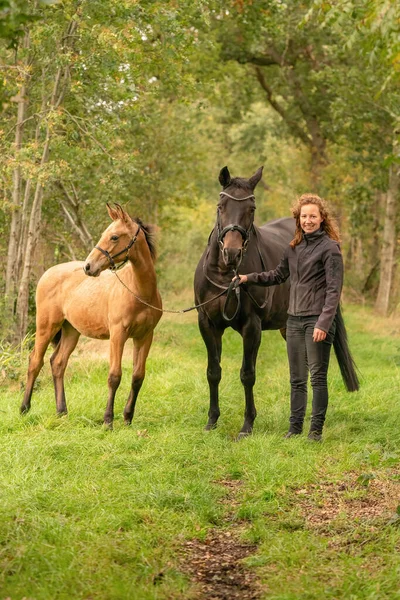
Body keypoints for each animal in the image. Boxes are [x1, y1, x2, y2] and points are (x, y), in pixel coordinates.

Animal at [20, 204, 162, 428]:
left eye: (114, 237)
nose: (88, 267)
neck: (138, 291)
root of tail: (47, 273)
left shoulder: (145, 336)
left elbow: (138, 376)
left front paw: (127, 418)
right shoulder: (118, 335)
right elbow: (114, 376)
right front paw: (108, 421)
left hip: (71, 331)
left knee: (58, 363)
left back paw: (62, 412)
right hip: (47, 327)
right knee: (35, 361)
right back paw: (25, 408)